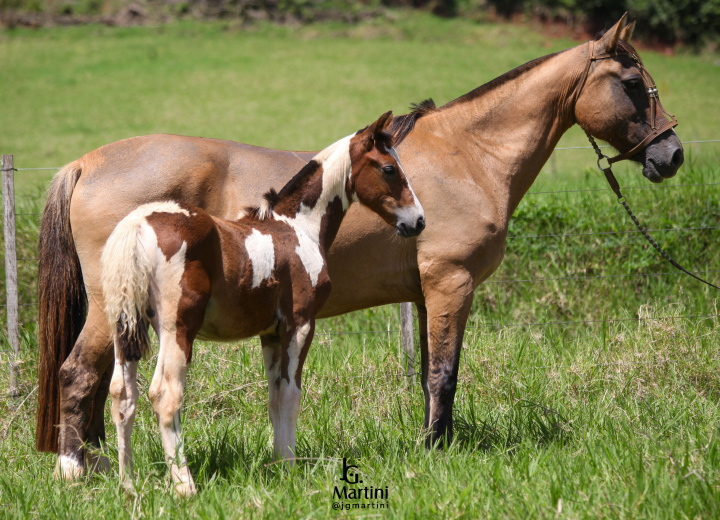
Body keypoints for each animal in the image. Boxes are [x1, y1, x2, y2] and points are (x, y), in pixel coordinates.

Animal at [102, 111, 428, 494]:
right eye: (389, 168)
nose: (417, 221)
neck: (298, 228)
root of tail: (138, 224)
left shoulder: (269, 334)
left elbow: (273, 398)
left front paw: (276, 464)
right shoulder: (299, 324)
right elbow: (290, 395)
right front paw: (289, 467)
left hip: (124, 328)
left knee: (122, 395)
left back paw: (127, 485)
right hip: (176, 329)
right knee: (165, 395)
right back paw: (185, 486)